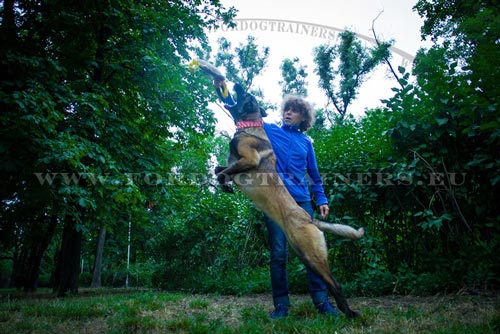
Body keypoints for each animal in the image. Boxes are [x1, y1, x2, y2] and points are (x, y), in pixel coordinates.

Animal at [215, 84, 364, 318]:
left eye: (246, 93)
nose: (237, 84)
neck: (250, 126)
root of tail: (309, 220)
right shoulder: (234, 164)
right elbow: (219, 169)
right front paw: (224, 184)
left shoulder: (249, 159)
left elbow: (223, 172)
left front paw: (224, 184)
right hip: (305, 256)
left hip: (311, 254)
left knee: (335, 284)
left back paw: (349, 313)